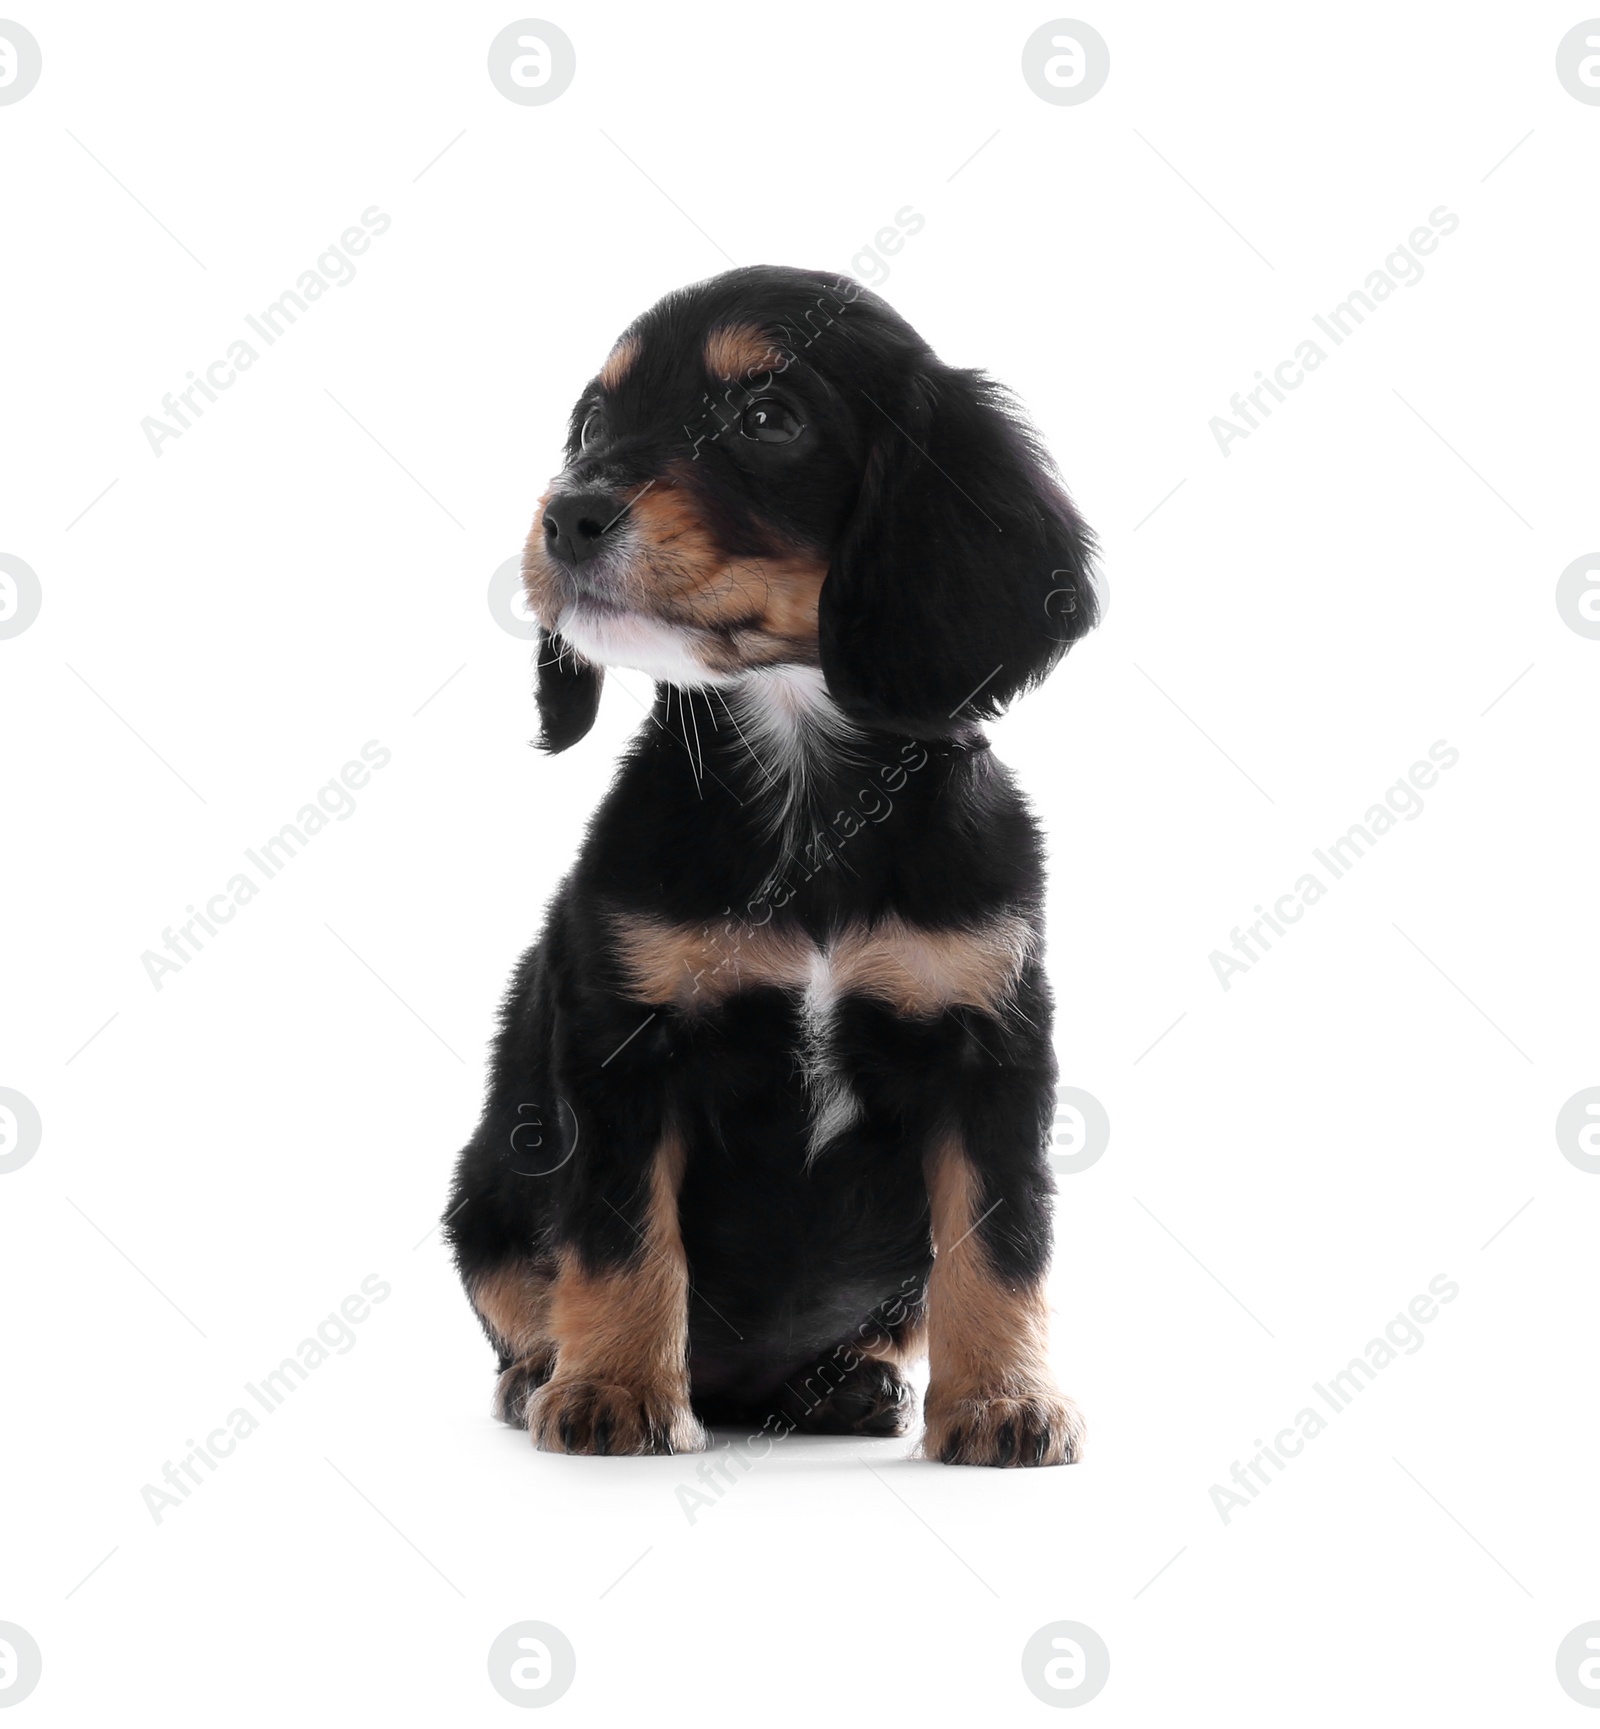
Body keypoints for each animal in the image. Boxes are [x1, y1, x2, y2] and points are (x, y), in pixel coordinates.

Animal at [446, 262, 1100, 1466]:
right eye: (594, 424)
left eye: (767, 418)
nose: (566, 514)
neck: (807, 790)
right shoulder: (623, 1048)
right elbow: (620, 1237)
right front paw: (614, 1388)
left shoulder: (991, 1047)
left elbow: (1000, 1242)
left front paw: (1003, 1400)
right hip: (486, 1189)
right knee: (523, 1290)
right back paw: (542, 1373)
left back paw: (846, 1384)